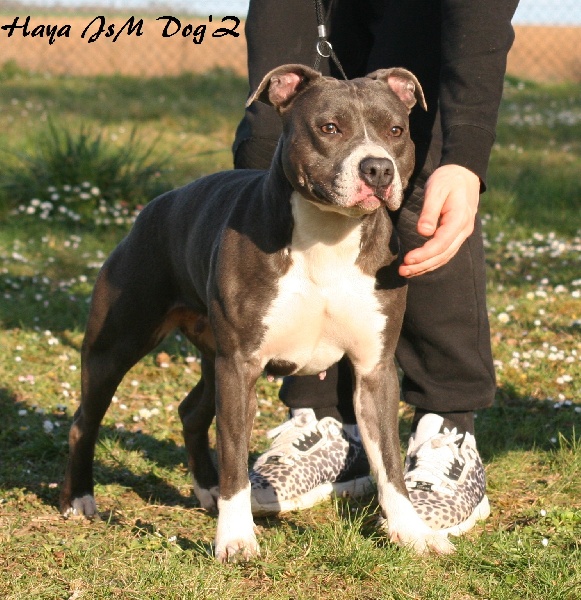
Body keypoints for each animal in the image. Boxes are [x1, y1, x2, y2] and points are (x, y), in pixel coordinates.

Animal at [60, 64, 454, 561]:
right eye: (329, 127)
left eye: (396, 131)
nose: (378, 168)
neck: (329, 235)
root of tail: (156, 205)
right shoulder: (241, 365)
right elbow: (234, 458)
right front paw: (235, 538)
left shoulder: (374, 370)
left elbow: (389, 461)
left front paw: (412, 531)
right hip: (118, 346)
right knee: (84, 421)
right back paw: (78, 497)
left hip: (212, 356)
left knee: (191, 412)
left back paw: (205, 489)